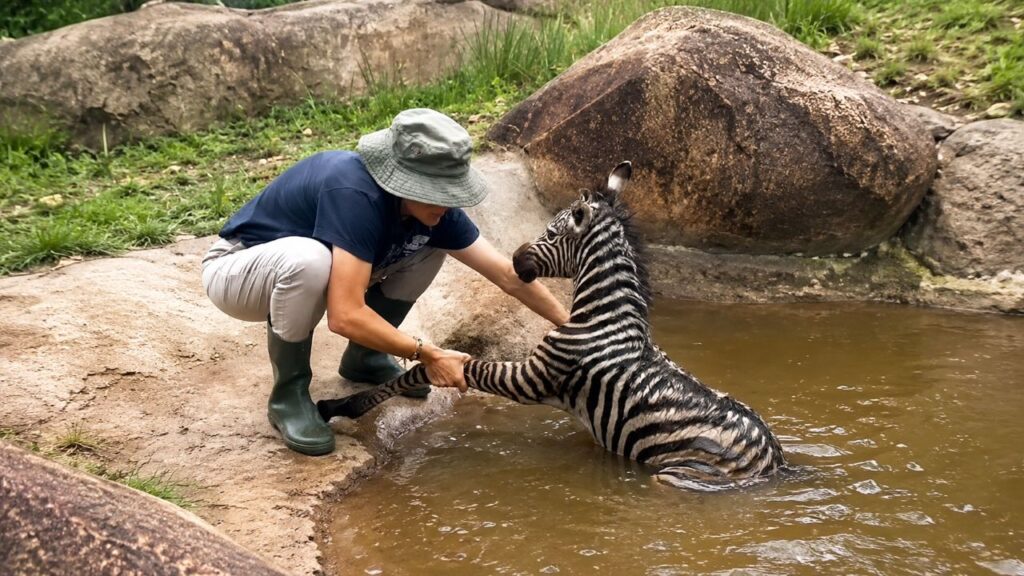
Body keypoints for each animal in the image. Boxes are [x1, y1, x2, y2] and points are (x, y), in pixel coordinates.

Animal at [318, 161, 786, 490]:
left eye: (551, 232)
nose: (513, 261)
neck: (603, 317)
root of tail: (777, 466)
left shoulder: (530, 379)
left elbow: (433, 368)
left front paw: (341, 406)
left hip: (679, 473)